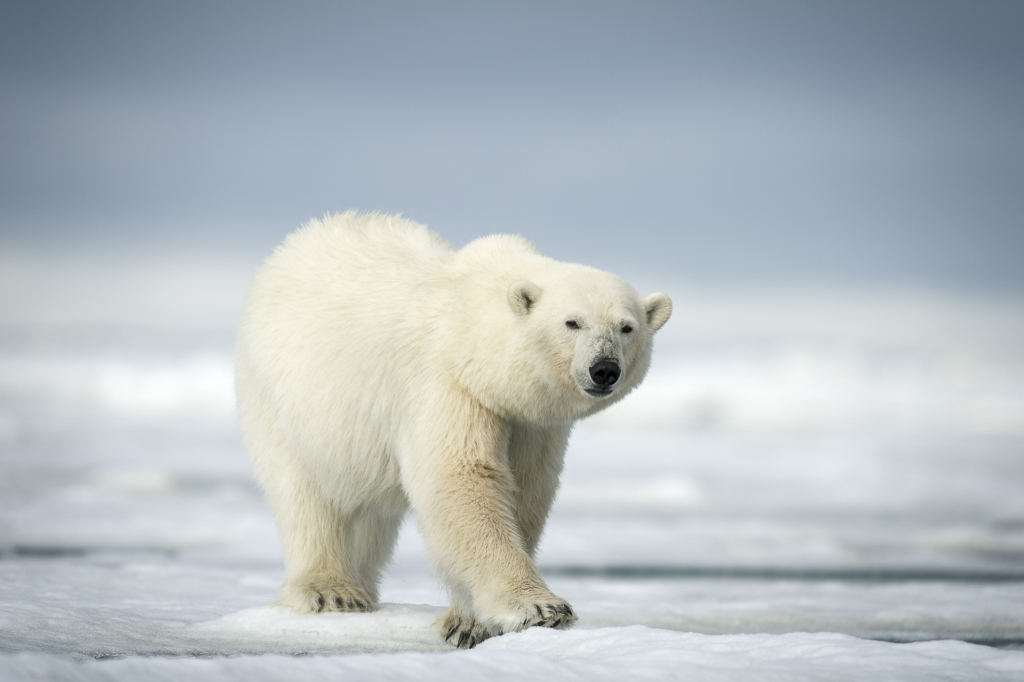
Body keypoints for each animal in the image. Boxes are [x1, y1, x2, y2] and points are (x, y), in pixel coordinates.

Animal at [235, 210, 675, 643]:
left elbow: (526, 490)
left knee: (371, 514)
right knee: (306, 495)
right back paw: (333, 591)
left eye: (626, 327)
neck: (475, 331)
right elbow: (463, 479)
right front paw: (541, 609)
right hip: (284, 401)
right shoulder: (450, 385)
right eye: (572, 322)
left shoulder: (532, 421)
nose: (604, 369)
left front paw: (468, 621)